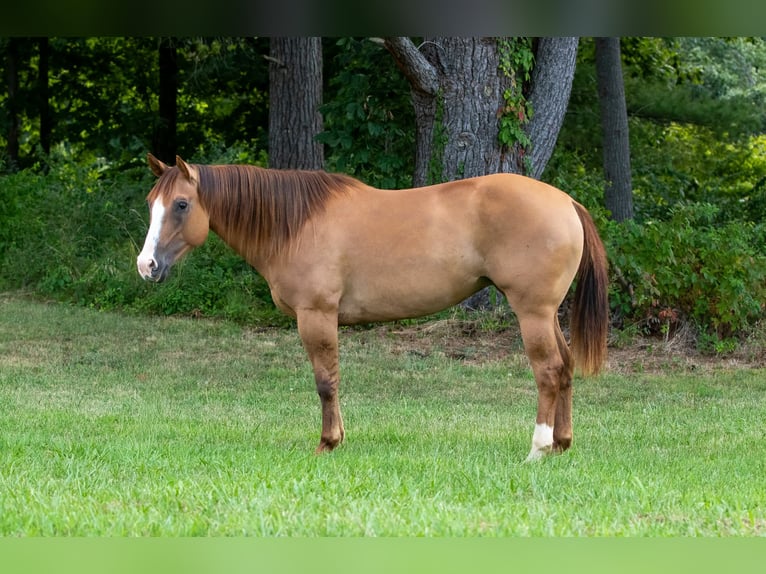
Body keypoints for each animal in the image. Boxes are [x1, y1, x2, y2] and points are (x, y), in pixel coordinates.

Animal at [137, 154, 608, 460]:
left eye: (181, 204)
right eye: (150, 204)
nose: (147, 265)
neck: (296, 224)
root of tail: (566, 202)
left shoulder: (317, 316)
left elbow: (326, 381)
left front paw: (328, 443)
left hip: (532, 313)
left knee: (548, 372)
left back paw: (538, 449)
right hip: (548, 315)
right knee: (566, 368)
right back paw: (562, 445)